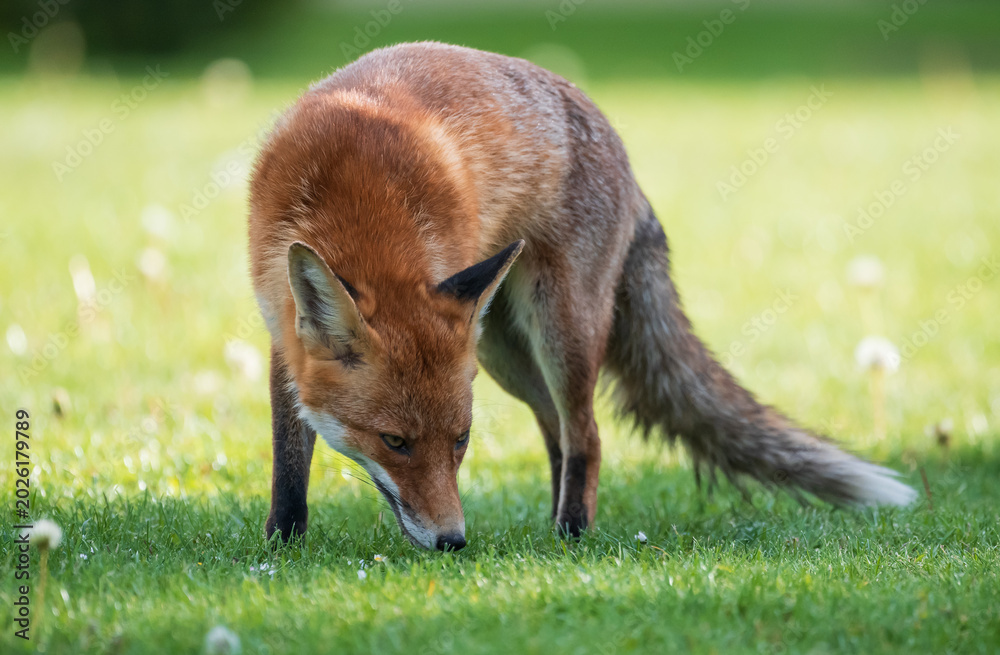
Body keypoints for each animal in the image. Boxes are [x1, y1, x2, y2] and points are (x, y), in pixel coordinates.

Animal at [248, 42, 916, 551]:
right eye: (394, 442)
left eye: (461, 440)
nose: (453, 542)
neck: (353, 194)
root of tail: (621, 150)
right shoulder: (283, 333)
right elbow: (288, 460)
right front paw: (284, 545)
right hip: (502, 351)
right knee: (556, 430)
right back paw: (554, 521)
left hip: (559, 329)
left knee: (587, 435)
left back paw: (572, 532)